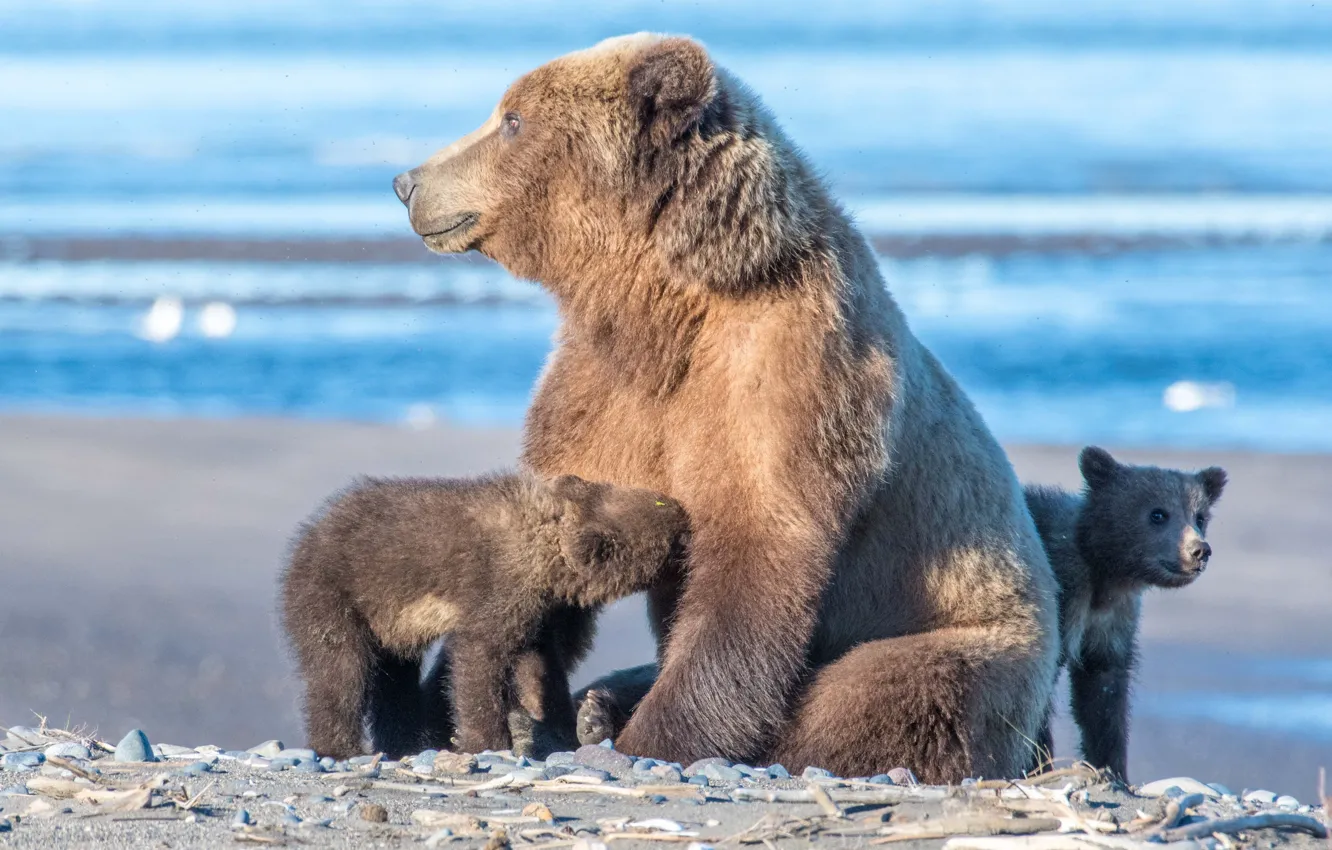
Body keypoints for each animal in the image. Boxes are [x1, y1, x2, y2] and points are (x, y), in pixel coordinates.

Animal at [280, 471, 689, 759]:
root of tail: (306, 536)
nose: (683, 511)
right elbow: (478, 659)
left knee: (394, 680)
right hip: (336, 592)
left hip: (392, 626)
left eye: (656, 501)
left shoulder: (534, 610)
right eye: (666, 525)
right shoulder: (495, 587)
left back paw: (406, 743)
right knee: (340, 669)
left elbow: (539, 665)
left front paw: (565, 726)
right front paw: (490, 741)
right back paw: (339, 746)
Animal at [392, 33, 1059, 780]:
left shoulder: (783, 379)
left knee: (885, 692)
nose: (408, 182)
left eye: (511, 119)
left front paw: (656, 738)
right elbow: (570, 523)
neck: (663, 305)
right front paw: (501, 702)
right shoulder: (607, 391)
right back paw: (601, 702)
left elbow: (754, 555)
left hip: (973, 633)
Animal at [1025, 447, 1227, 779]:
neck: (1105, 570)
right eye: (1157, 513)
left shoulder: (1111, 620)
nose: (1200, 551)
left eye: (1200, 516)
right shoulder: (1061, 594)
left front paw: (1112, 768)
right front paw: (1037, 763)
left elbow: (1103, 694)